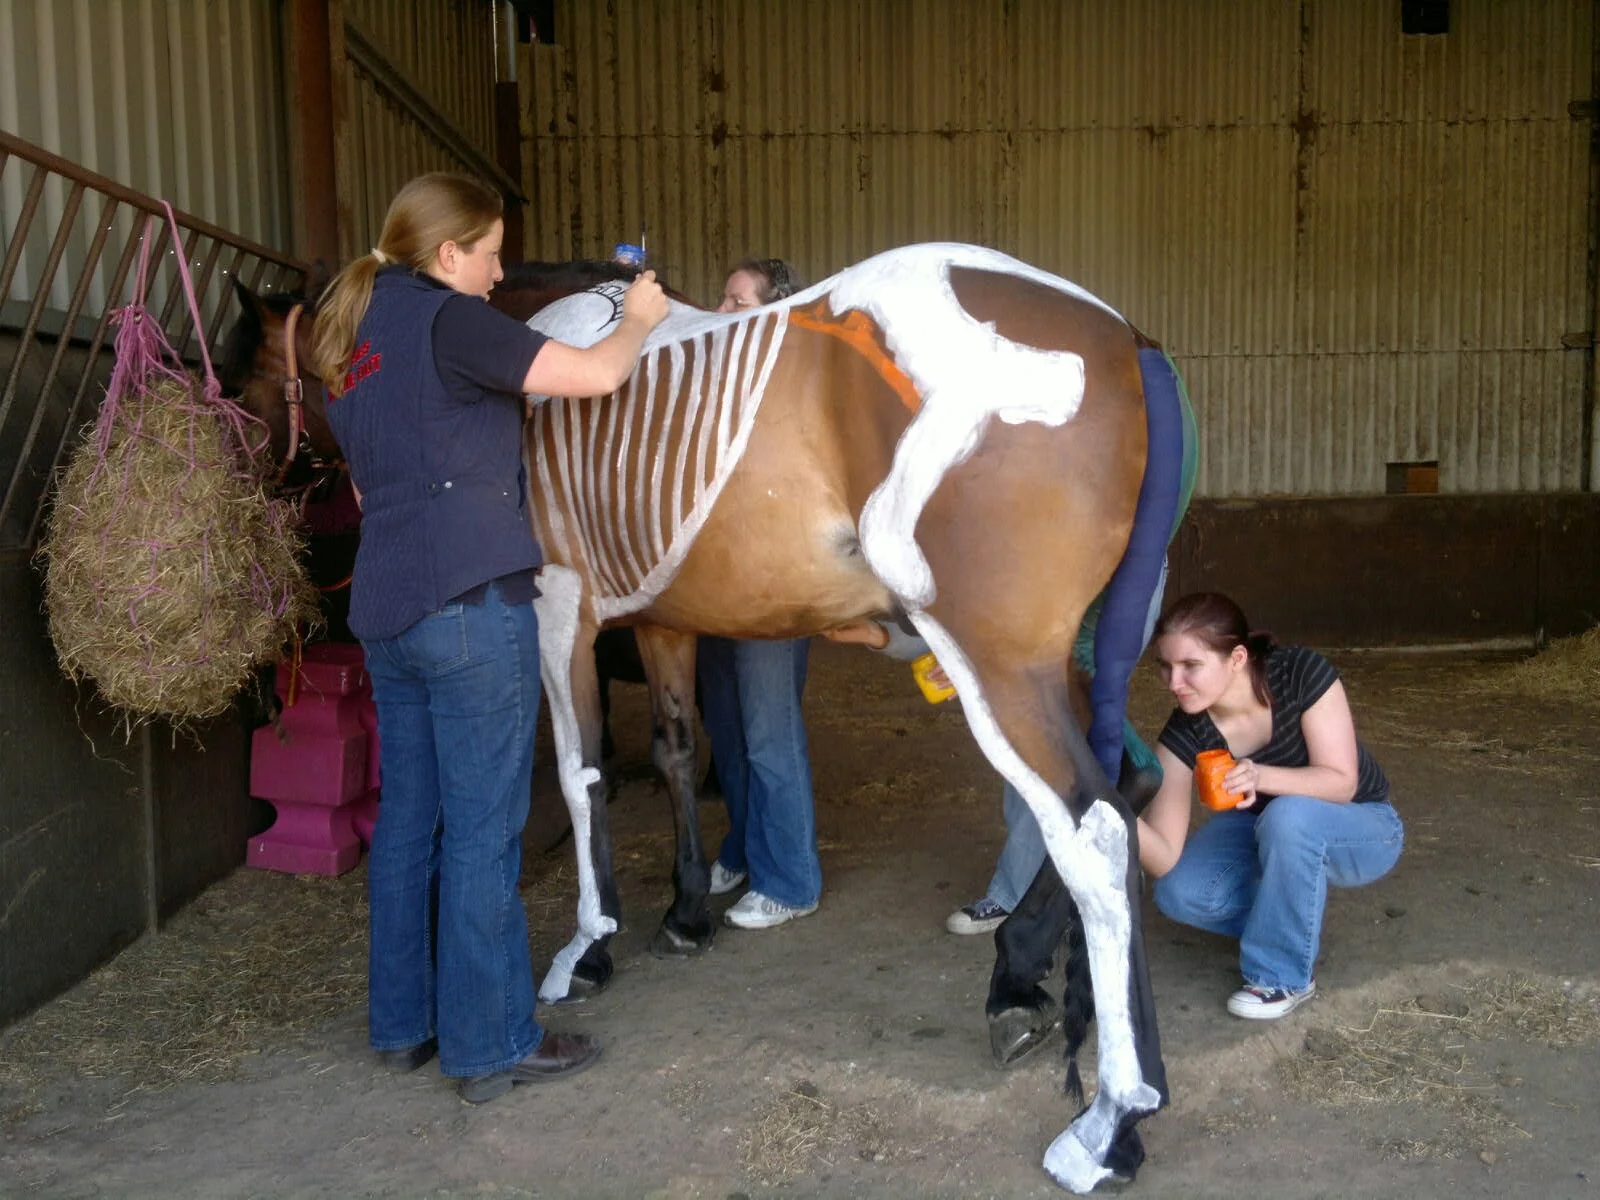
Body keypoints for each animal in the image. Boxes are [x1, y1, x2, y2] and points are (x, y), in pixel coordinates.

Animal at [226, 245, 1185, 1192]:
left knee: (1093, 831)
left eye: (241, 383)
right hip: (1059, 665)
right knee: (1130, 783)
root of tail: (1126, 339)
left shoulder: (558, 612)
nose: (256, 504)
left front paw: (591, 945)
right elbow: (677, 753)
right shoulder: (664, 624)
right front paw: (686, 911)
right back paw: (1017, 978)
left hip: (998, 668)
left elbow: (582, 775)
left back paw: (1111, 1121)